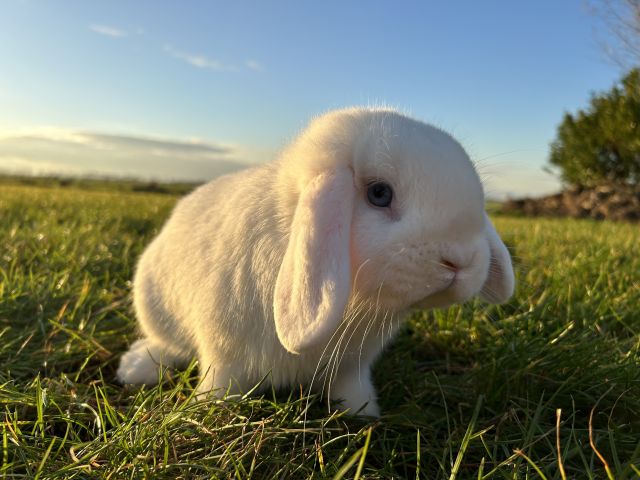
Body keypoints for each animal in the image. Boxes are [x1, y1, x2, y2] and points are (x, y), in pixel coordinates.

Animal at [116, 108, 516, 416]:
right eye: (379, 193)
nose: (461, 262)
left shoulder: (354, 365)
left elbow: (351, 389)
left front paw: (363, 414)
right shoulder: (224, 354)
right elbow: (220, 385)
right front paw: (208, 410)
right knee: (165, 344)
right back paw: (135, 368)